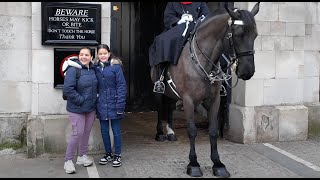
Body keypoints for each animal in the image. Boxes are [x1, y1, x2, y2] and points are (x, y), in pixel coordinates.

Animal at [151, 2, 260, 177]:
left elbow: (213, 130)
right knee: (161, 108)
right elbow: (192, 130)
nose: (247, 71)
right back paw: (160, 133)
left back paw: (171, 132)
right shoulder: (188, 100)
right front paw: (193, 163)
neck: (203, 61)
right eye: (238, 34)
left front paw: (218, 164)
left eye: (255, 35)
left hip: (173, 94)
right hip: (158, 92)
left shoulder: (214, 100)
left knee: (169, 108)